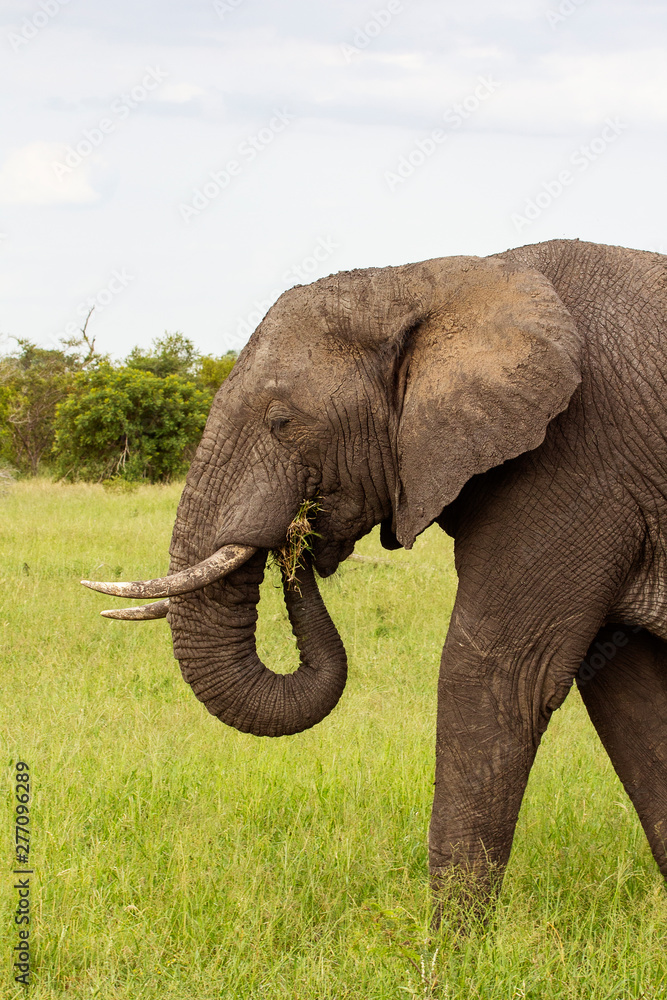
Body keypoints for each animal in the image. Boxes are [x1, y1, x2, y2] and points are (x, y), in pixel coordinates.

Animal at [84, 238, 667, 905]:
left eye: (284, 422)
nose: (298, 536)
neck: (424, 282)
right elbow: (631, 697)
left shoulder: (578, 457)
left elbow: (497, 675)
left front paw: (452, 937)